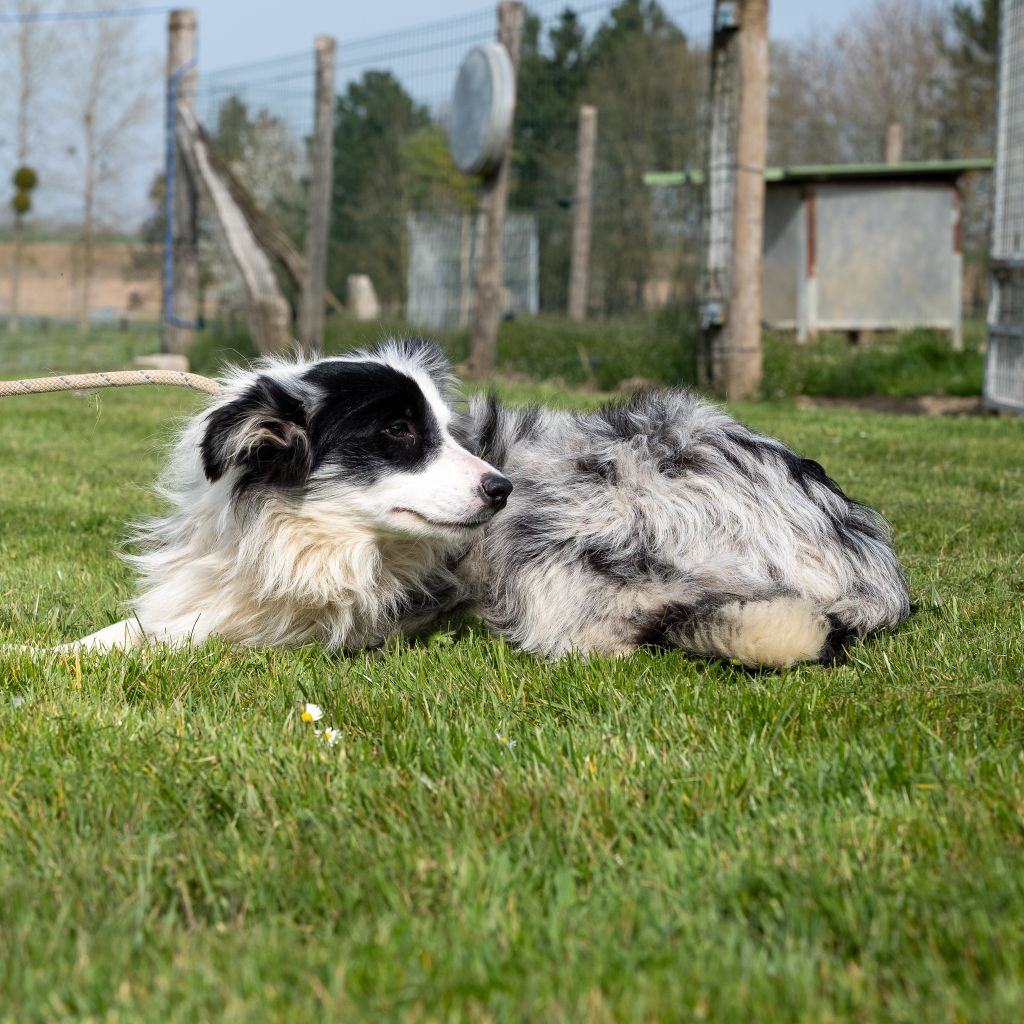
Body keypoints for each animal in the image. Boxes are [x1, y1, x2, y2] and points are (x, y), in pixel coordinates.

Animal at [68, 339, 909, 667]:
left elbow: (176, 635)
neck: (289, 528)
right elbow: (134, 626)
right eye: (401, 431)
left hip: (570, 527)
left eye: (447, 428)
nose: (500, 487)